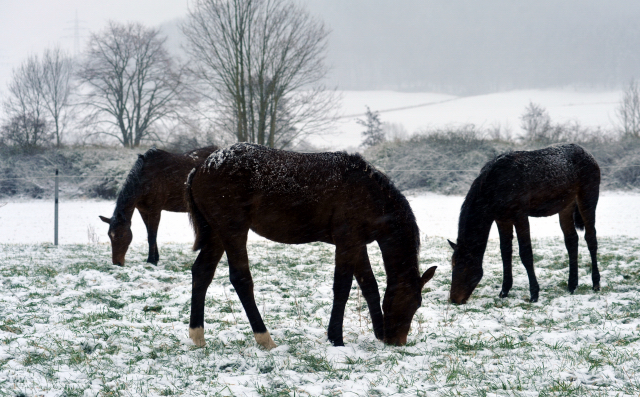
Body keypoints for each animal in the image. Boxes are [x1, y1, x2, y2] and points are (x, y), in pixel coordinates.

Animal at [185, 142, 436, 346]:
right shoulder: (347, 242)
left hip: (217, 234)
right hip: (233, 231)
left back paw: (197, 336)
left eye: (418, 304)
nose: (397, 342)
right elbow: (342, 288)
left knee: (202, 272)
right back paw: (264, 338)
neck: (370, 194)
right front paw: (336, 338)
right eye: (408, 302)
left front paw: (378, 332)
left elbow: (369, 287)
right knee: (240, 279)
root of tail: (200, 168)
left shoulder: (358, 245)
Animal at [450, 143, 600, 304]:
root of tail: (589, 155)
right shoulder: (502, 219)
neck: (496, 184)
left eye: (463, 268)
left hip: (587, 200)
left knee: (591, 238)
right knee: (572, 240)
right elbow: (505, 252)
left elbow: (526, 254)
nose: (454, 299)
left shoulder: (520, 216)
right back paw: (572, 285)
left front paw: (534, 293)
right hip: (566, 206)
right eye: (452, 264)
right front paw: (504, 290)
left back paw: (596, 283)